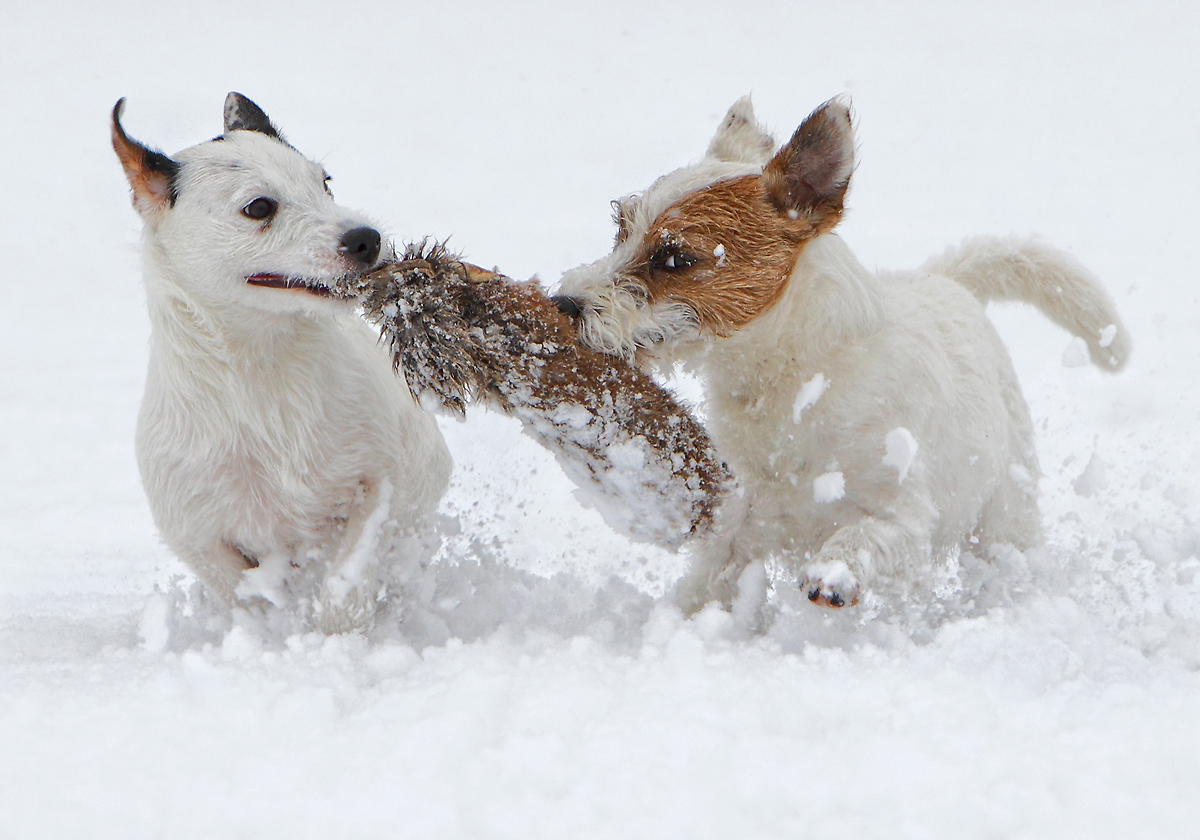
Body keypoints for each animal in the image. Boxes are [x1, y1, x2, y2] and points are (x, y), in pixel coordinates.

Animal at [113, 93, 451, 628]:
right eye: (258, 207)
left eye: (325, 181)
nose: (367, 238)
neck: (260, 373)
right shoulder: (199, 537)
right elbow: (245, 598)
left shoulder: (382, 482)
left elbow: (350, 575)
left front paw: (335, 632)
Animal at [556, 96, 1128, 609]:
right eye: (620, 229)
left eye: (674, 258)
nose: (564, 304)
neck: (792, 381)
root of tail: (945, 279)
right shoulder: (744, 519)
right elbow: (711, 578)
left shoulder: (904, 514)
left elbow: (869, 534)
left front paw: (835, 572)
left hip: (1006, 510)